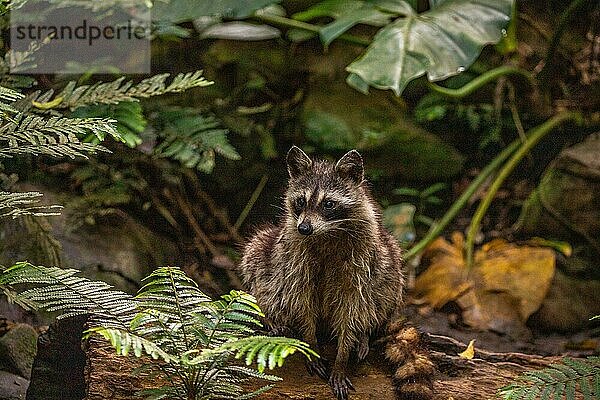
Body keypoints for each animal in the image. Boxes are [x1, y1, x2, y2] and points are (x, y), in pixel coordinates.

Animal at [237, 147, 434, 400]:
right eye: (301, 201)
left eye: (328, 203)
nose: (304, 228)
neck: (327, 232)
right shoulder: (294, 261)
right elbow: (300, 300)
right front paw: (311, 345)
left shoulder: (361, 263)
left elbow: (353, 309)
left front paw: (342, 357)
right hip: (266, 252)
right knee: (257, 265)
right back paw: (271, 317)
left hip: (389, 262)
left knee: (387, 285)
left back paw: (364, 333)